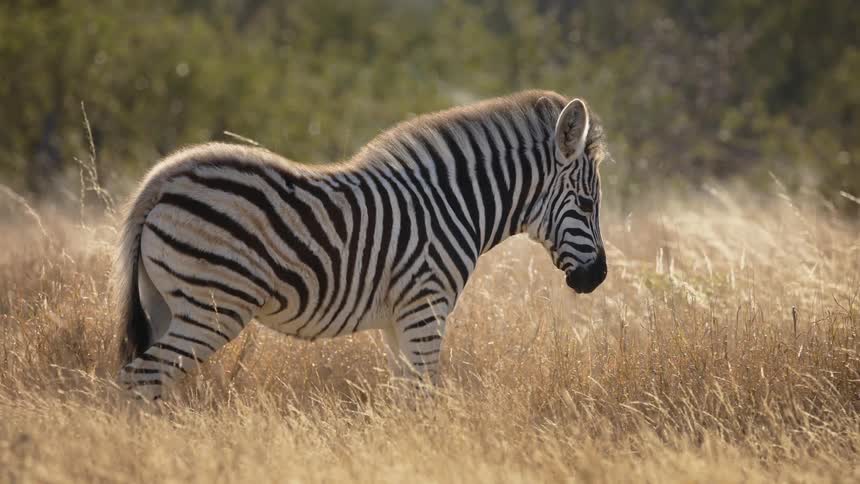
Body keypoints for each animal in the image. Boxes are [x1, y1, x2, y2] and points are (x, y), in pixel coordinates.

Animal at [115, 90, 609, 400]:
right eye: (587, 203)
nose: (599, 277)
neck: (452, 205)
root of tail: (164, 178)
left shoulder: (399, 320)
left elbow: (404, 397)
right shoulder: (425, 307)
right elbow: (422, 397)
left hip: (165, 302)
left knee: (143, 378)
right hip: (213, 306)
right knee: (142, 377)